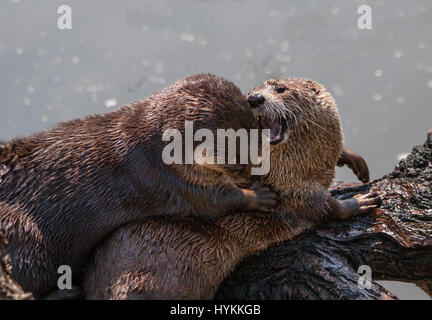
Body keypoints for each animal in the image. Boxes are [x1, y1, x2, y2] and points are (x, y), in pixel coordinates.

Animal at [0, 74, 280, 296]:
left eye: (259, 140)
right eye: (237, 164)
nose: (252, 175)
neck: (155, 147)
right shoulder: (174, 181)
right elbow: (218, 202)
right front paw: (260, 195)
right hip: (25, 237)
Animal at [82, 77, 380, 300]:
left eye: (281, 89)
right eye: (255, 90)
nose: (255, 98)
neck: (306, 162)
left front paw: (350, 157)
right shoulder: (295, 189)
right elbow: (325, 208)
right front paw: (360, 201)